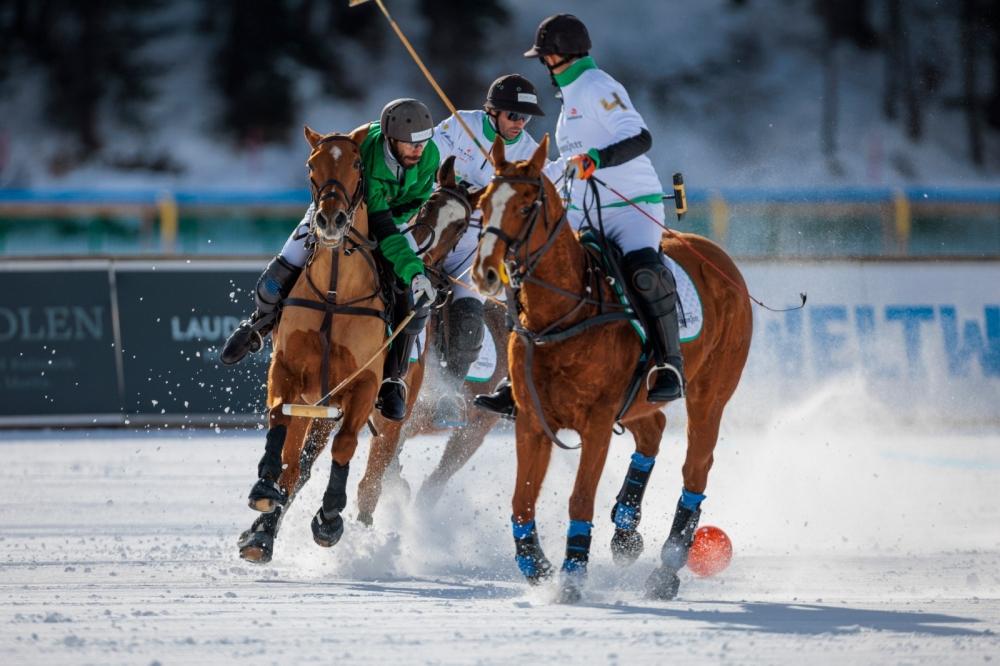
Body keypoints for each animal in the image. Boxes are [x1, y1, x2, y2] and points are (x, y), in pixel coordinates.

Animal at [470, 135, 752, 600]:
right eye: (483, 202)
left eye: (527, 206)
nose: (485, 273)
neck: (562, 314)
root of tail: (719, 257)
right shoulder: (531, 420)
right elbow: (521, 501)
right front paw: (537, 566)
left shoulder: (597, 422)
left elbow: (580, 499)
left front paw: (572, 576)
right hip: (637, 398)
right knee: (654, 427)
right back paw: (625, 529)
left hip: (710, 393)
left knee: (696, 468)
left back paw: (665, 572)